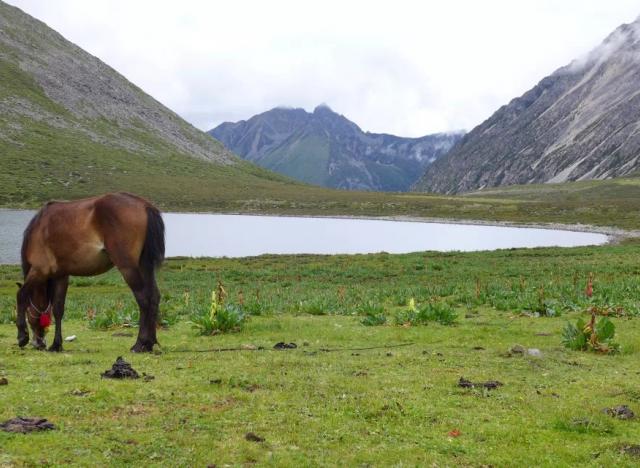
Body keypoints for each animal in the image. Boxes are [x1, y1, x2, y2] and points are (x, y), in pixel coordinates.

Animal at [17, 193, 164, 352]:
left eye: (28, 314)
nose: (39, 343)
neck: (40, 228)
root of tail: (144, 205)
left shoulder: (39, 270)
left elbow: (21, 295)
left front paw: (22, 336)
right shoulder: (61, 275)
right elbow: (58, 309)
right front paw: (56, 344)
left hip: (128, 268)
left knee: (143, 299)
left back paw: (139, 343)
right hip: (145, 266)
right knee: (154, 297)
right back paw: (149, 343)